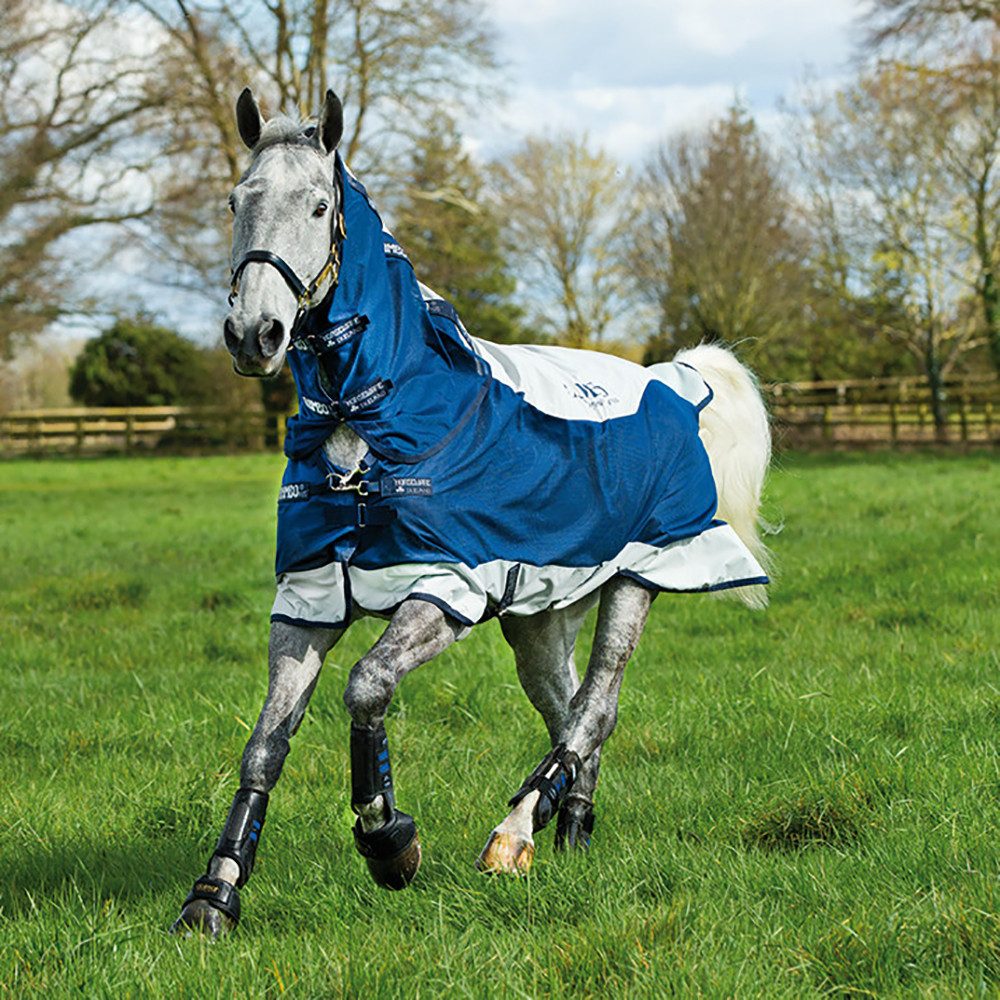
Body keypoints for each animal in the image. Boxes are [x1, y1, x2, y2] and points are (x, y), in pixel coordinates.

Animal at [171, 88, 772, 938]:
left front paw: (390, 844)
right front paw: (214, 895)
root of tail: (674, 381)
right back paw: (570, 828)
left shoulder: (445, 587)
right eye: (235, 201)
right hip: (541, 612)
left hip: (640, 578)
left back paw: (514, 834)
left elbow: (367, 686)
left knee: (597, 706)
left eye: (318, 206)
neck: (373, 422)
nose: (253, 334)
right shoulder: (309, 598)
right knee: (571, 708)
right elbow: (264, 744)